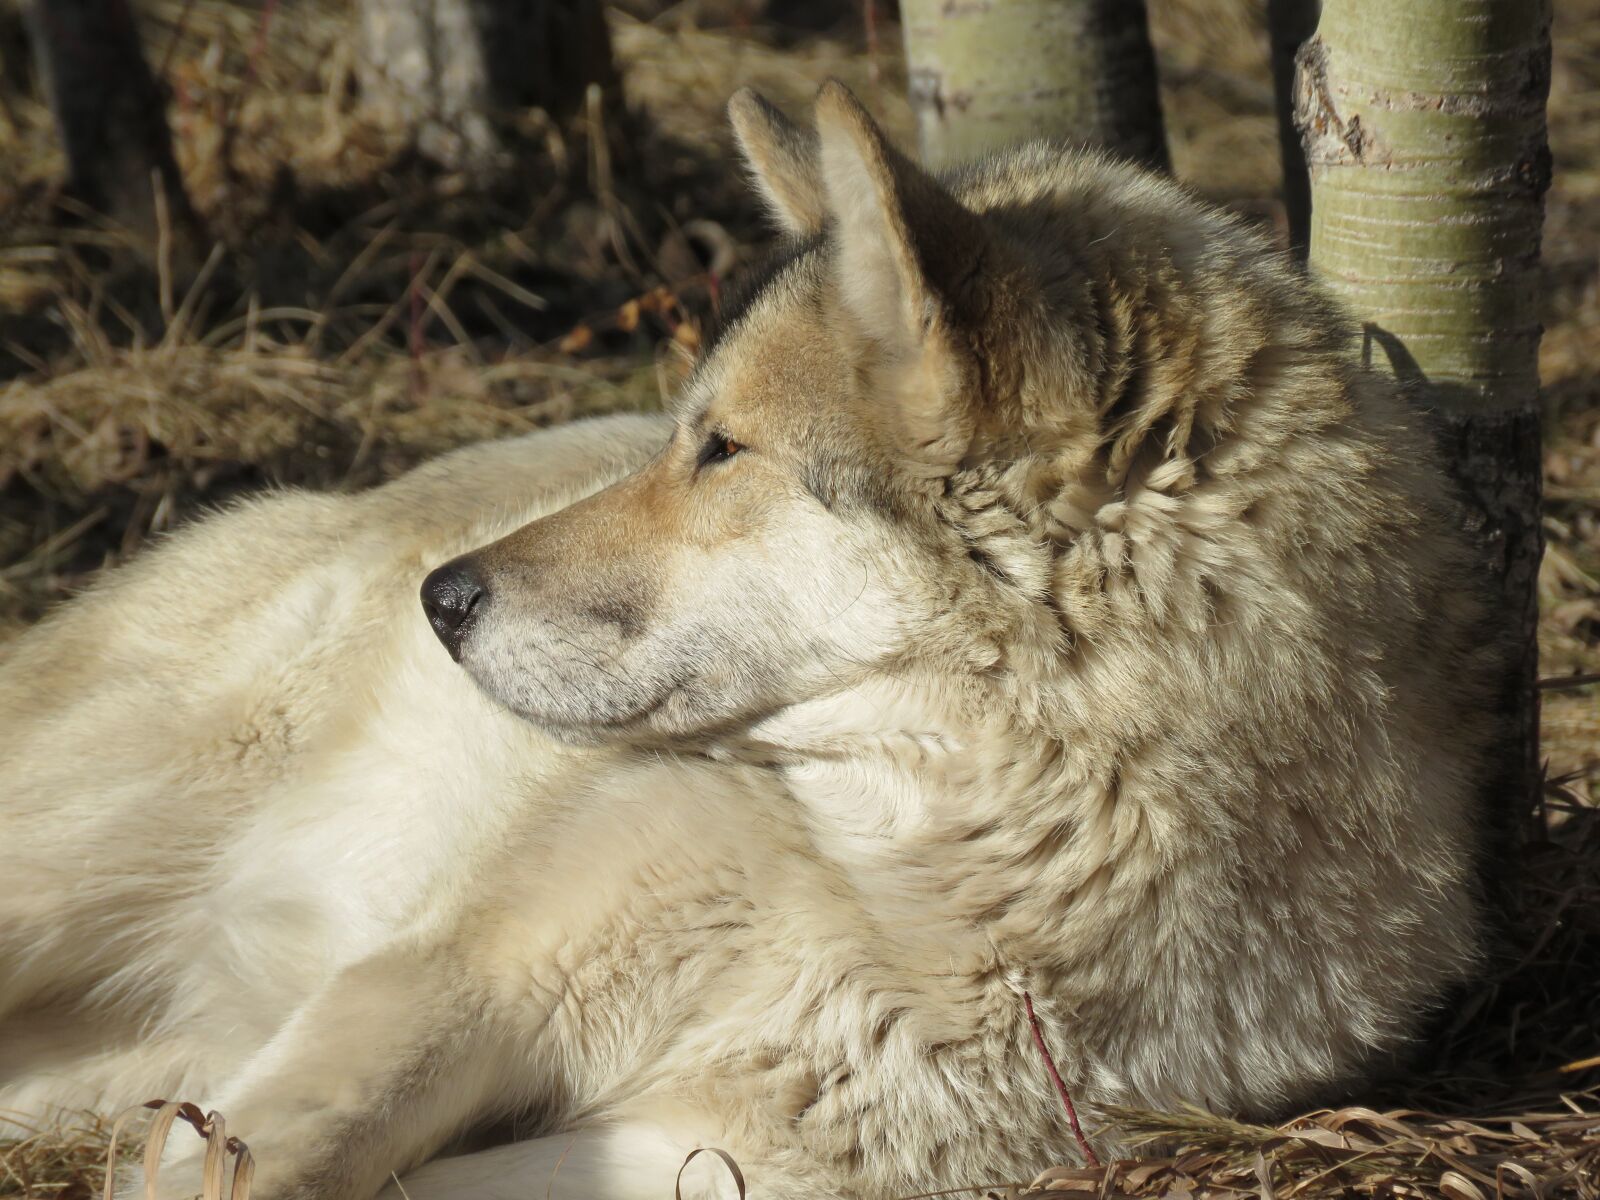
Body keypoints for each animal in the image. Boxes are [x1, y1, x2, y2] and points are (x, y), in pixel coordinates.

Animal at [1, 83, 1507, 1200]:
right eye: (685, 434)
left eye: (720, 450)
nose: (442, 599)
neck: (928, 866)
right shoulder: (453, 985)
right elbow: (268, 1160)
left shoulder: (704, 1154)